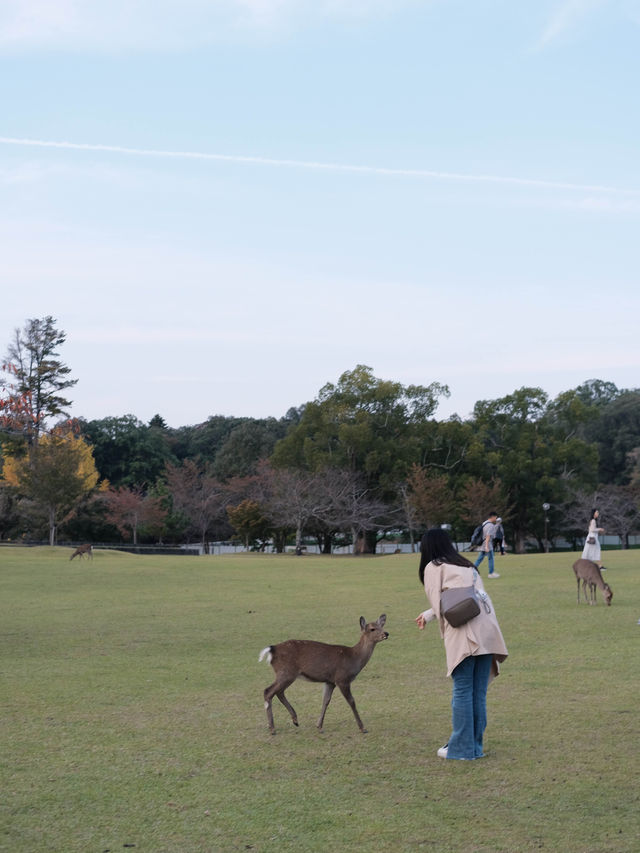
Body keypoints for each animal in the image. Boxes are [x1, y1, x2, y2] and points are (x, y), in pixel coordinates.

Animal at [258, 612, 388, 732]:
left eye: (382, 625)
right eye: (372, 629)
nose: (386, 634)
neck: (354, 658)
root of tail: (272, 649)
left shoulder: (330, 681)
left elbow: (325, 701)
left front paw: (319, 726)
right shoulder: (342, 679)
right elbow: (351, 701)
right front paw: (362, 728)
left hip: (286, 674)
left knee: (279, 692)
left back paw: (295, 720)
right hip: (286, 672)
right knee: (268, 691)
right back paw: (272, 728)